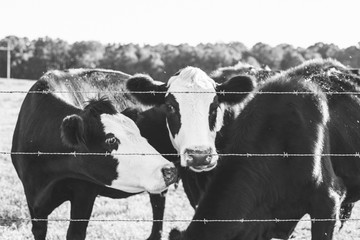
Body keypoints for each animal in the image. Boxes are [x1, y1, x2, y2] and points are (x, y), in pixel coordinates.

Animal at [11, 73, 179, 240]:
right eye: (111, 140)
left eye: (138, 132)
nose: (169, 170)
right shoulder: (32, 200)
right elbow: (39, 231)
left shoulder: (85, 193)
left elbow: (75, 233)